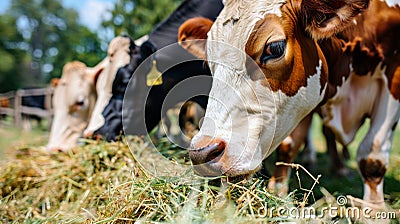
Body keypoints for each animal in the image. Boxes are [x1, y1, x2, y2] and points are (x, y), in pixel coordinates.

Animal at [188, 0, 400, 208]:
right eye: (209, 58)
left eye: (275, 48)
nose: (202, 153)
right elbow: (289, 144)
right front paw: (278, 192)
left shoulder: (393, 81)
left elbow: (372, 156)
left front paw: (374, 209)